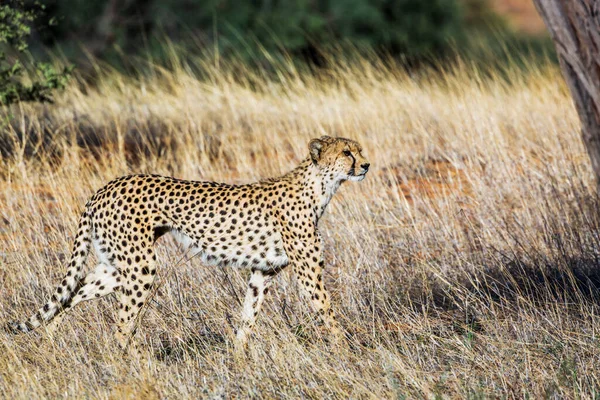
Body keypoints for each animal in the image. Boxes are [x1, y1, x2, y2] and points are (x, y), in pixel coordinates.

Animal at [8, 136, 370, 352]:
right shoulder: (308, 273)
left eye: (360, 149)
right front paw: (345, 354)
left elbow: (247, 319)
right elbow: (327, 312)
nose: (366, 165)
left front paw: (238, 360)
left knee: (72, 294)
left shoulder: (261, 273)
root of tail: (105, 186)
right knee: (122, 325)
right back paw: (133, 365)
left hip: (115, 265)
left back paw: (51, 339)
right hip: (140, 267)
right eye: (347, 152)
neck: (320, 185)